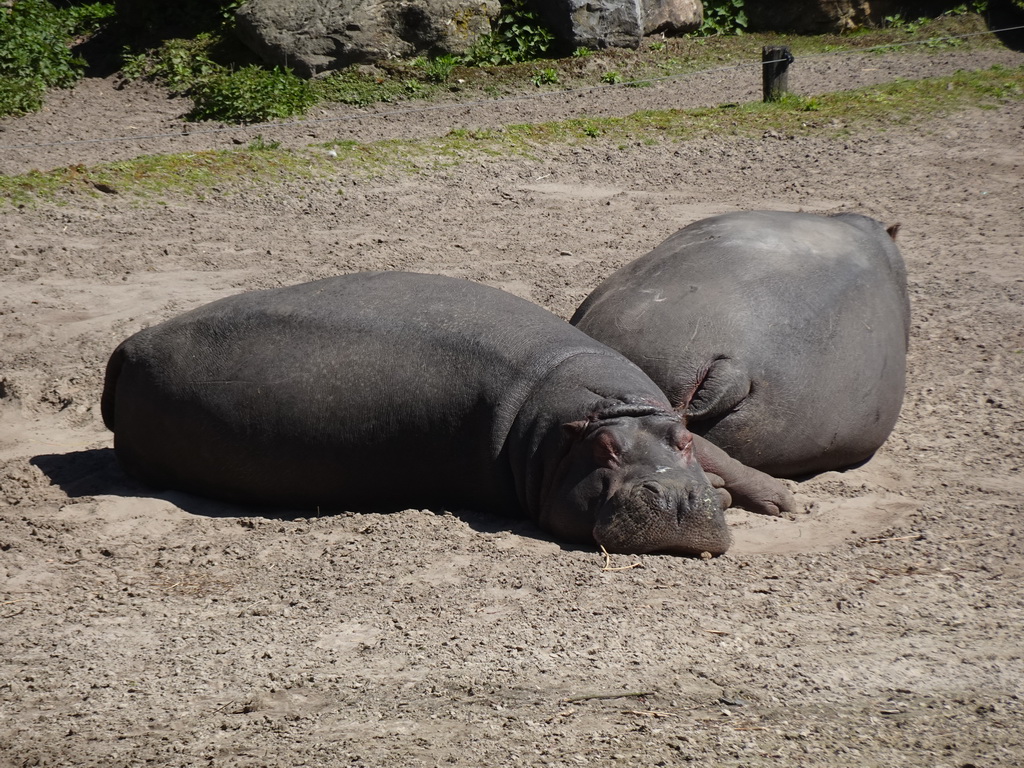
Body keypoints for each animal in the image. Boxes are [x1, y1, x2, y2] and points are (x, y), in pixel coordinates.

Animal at [101, 268, 790, 552]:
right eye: (602, 452)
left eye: (680, 442)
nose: (674, 498)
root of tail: (125, 349)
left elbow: (722, 451)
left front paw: (779, 498)